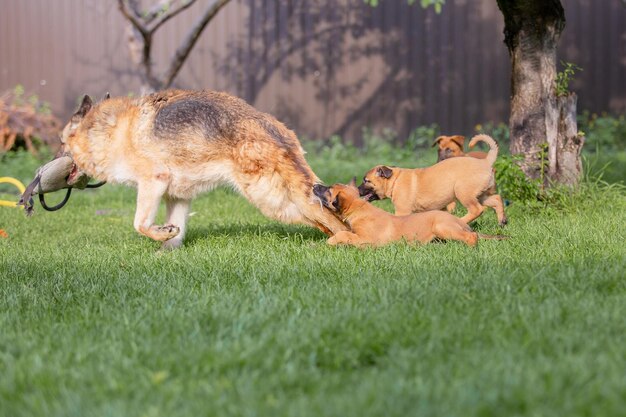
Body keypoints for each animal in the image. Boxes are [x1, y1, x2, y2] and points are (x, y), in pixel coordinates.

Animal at [59, 90, 346, 247]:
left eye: (61, 143)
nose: (53, 160)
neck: (114, 130)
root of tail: (270, 127)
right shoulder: (178, 196)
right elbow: (174, 230)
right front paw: (166, 247)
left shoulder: (153, 182)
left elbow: (139, 223)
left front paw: (159, 234)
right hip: (285, 202)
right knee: (326, 220)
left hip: (272, 200)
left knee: (334, 222)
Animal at [310, 180, 504, 247]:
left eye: (328, 190)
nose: (314, 185)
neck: (360, 209)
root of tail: (461, 223)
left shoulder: (368, 240)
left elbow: (344, 234)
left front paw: (331, 242)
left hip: (442, 227)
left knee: (472, 237)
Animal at [358, 134, 504, 226]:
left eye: (366, 181)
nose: (357, 190)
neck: (395, 180)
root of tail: (486, 162)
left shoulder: (402, 211)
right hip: (480, 194)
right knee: (496, 199)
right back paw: (502, 221)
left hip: (463, 192)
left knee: (477, 209)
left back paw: (461, 220)